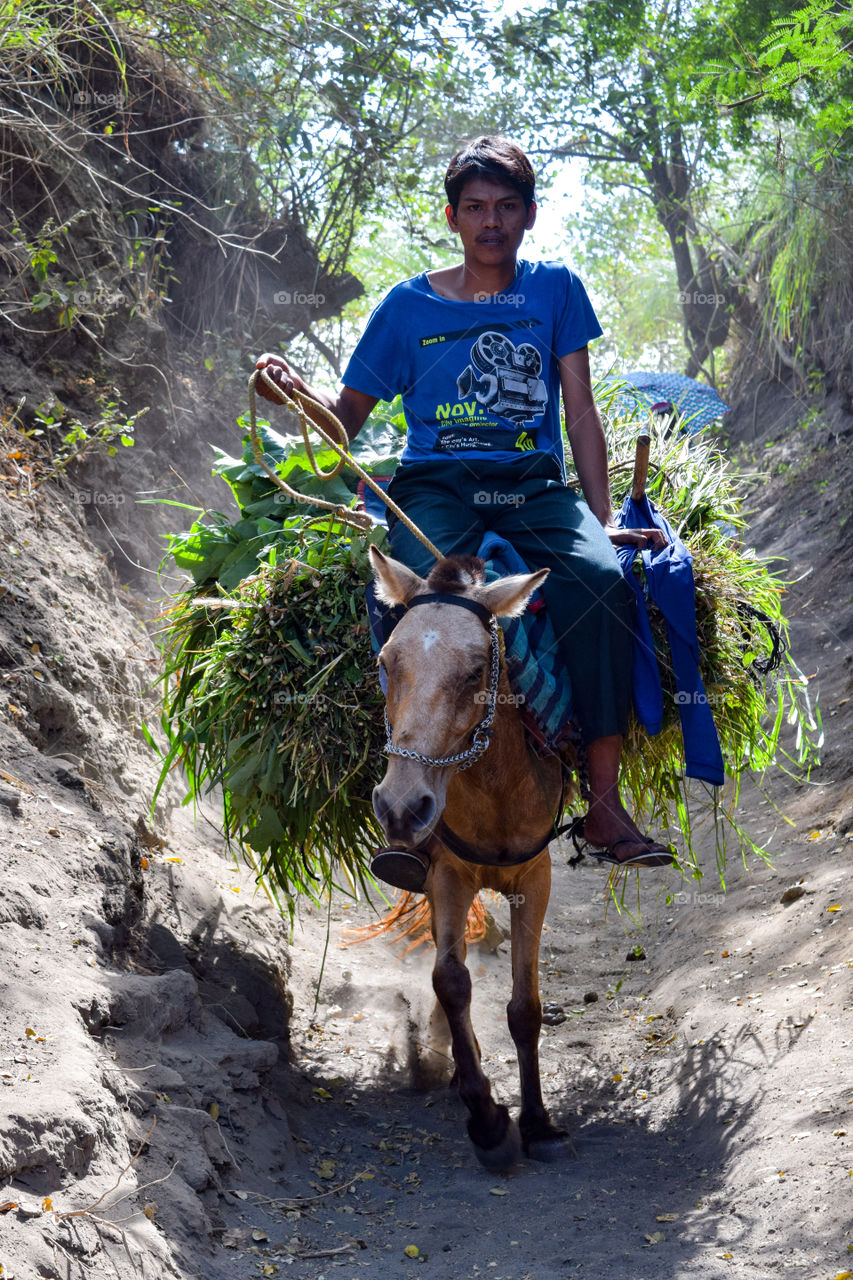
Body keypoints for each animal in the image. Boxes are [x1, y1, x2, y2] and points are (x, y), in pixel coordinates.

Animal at [366, 545, 571, 1167]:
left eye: (476, 670)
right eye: (386, 661)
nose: (401, 806)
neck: (494, 791)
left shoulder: (536, 880)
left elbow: (525, 1006)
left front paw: (537, 1122)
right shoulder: (447, 875)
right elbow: (451, 980)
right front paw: (486, 1120)